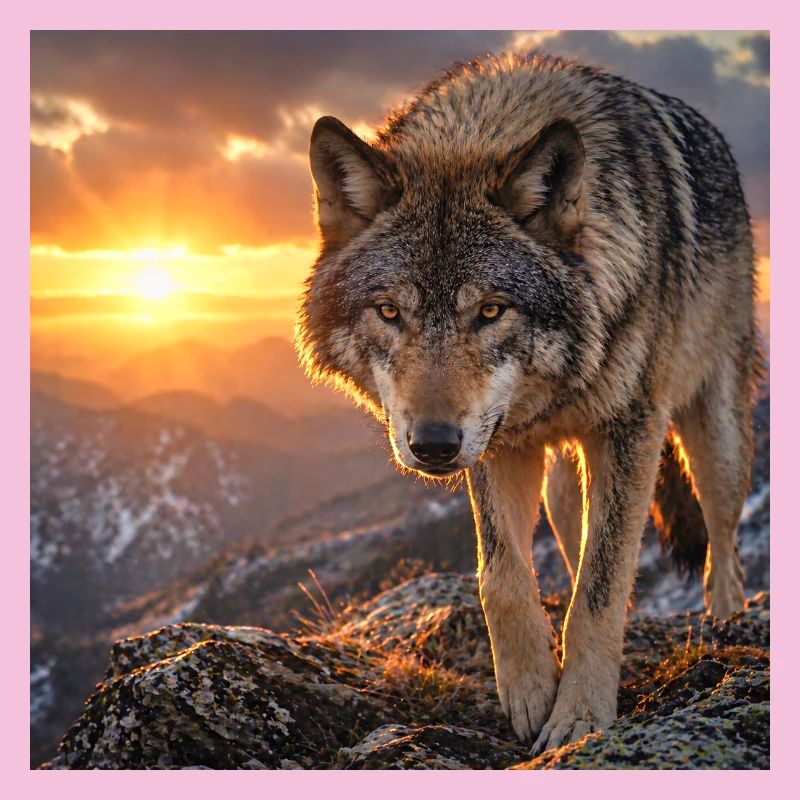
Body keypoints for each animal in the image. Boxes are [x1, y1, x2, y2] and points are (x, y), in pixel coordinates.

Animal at [296, 53, 757, 752]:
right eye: (389, 312)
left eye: (491, 311)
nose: (433, 445)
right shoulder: (496, 442)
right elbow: (503, 576)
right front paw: (532, 689)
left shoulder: (631, 429)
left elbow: (599, 589)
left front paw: (580, 715)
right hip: (567, 489)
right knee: (576, 540)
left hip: (714, 441)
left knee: (722, 545)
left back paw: (725, 628)